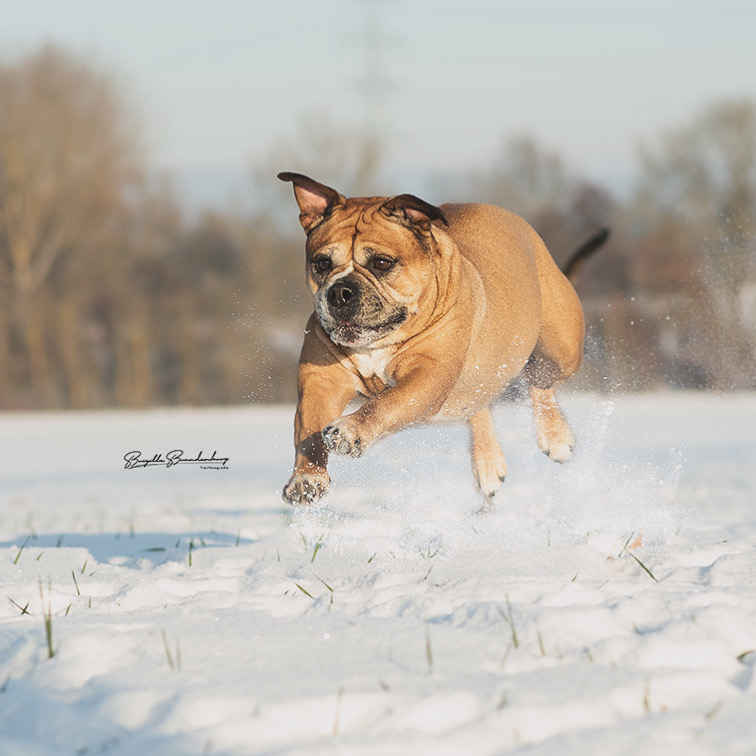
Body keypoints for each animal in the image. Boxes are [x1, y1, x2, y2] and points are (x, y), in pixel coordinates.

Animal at [278, 168, 608, 504]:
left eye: (381, 263)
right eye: (322, 263)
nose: (340, 292)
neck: (376, 344)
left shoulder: (427, 374)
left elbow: (385, 403)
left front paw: (350, 430)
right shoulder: (321, 381)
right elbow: (309, 431)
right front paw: (307, 477)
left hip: (560, 349)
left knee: (540, 379)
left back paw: (555, 436)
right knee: (480, 403)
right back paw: (488, 462)